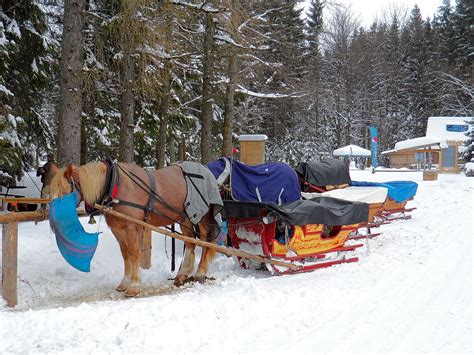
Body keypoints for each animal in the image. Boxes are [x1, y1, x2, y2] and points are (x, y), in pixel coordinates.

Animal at [49, 161, 217, 298]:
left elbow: (134, 252)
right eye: (51, 193)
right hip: (185, 218)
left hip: (201, 217)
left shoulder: (131, 226)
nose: (54, 223)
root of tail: (207, 170)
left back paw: (200, 272)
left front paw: (134, 285)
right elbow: (125, 254)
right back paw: (182, 275)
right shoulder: (117, 228)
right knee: (190, 243)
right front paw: (124, 282)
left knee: (205, 241)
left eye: (64, 193)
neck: (115, 185)